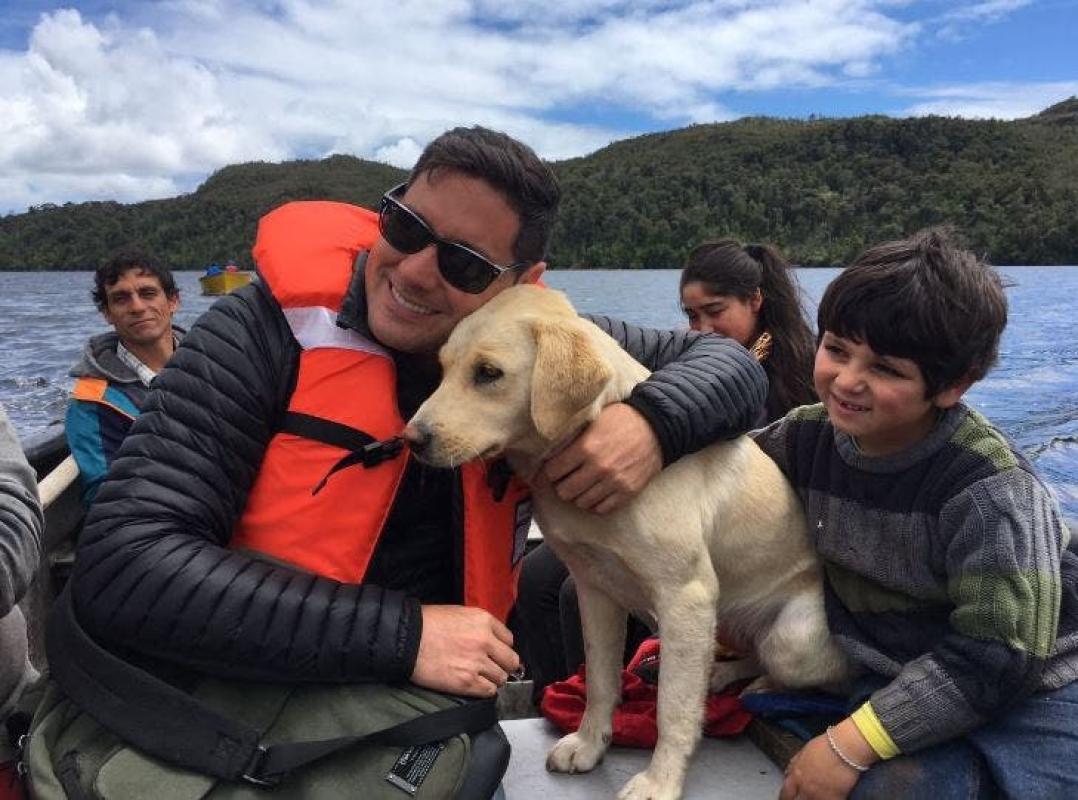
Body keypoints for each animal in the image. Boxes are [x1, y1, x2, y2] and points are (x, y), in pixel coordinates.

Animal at [404, 285, 847, 800]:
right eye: (442, 368)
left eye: (488, 373)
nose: (411, 438)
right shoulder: (594, 590)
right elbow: (600, 679)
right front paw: (590, 745)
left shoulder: (686, 599)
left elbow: (674, 709)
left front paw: (661, 780)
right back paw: (720, 675)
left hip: (790, 638)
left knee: (784, 671)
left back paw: (755, 687)